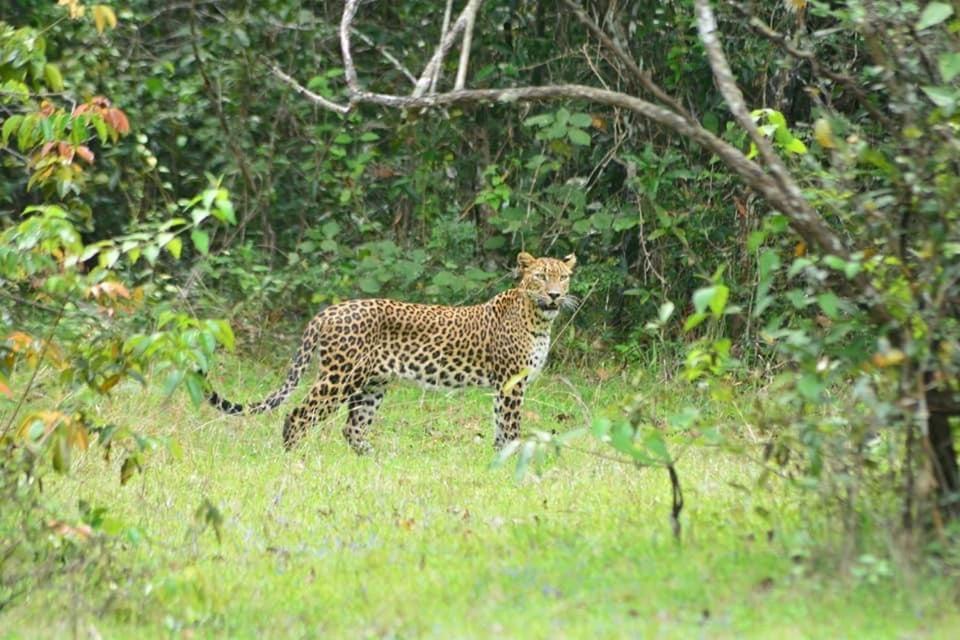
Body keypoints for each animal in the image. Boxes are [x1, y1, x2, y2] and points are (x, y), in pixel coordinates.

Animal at [204, 251, 576, 456]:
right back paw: (294, 459)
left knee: (352, 428)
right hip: (340, 377)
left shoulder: (504, 385)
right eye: (540, 277)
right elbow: (510, 425)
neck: (539, 318)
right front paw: (513, 460)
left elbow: (500, 424)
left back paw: (377, 461)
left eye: (564, 278)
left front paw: (499, 458)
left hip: (372, 384)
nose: (555, 295)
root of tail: (327, 311)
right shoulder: (512, 381)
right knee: (298, 415)